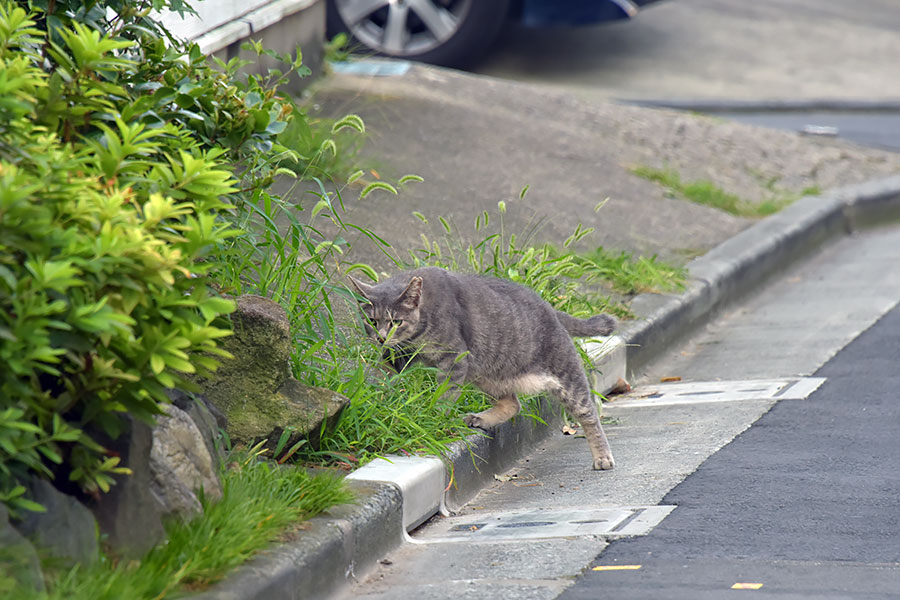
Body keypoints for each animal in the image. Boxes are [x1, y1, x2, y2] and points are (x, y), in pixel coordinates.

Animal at [348, 266, 616, 468]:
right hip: (488, 375)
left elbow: (444, 394)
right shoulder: (400, 357)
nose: (381, 338)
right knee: (513, 404)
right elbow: (391, 378)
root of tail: (551, 308)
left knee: (589, 413)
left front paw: (434, 417)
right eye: (372, 321)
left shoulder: (453, 359)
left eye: (396, 321)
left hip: (566, 375)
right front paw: (388, 401)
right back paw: (480, 418)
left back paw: (603, 457)